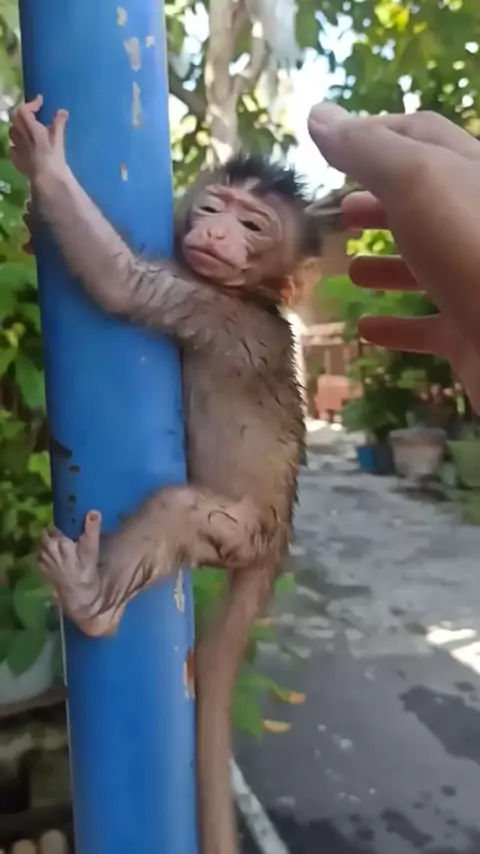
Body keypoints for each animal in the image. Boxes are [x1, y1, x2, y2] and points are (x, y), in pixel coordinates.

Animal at [9, 95, 324, 854]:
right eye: (213, 206)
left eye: (252, 225)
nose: (216, 230)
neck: (257, 297)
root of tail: (280, 536)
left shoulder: (209, 304)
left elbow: (121, 284)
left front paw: (45, 167)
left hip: (239, 529)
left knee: (178, 511)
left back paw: (91, 604)